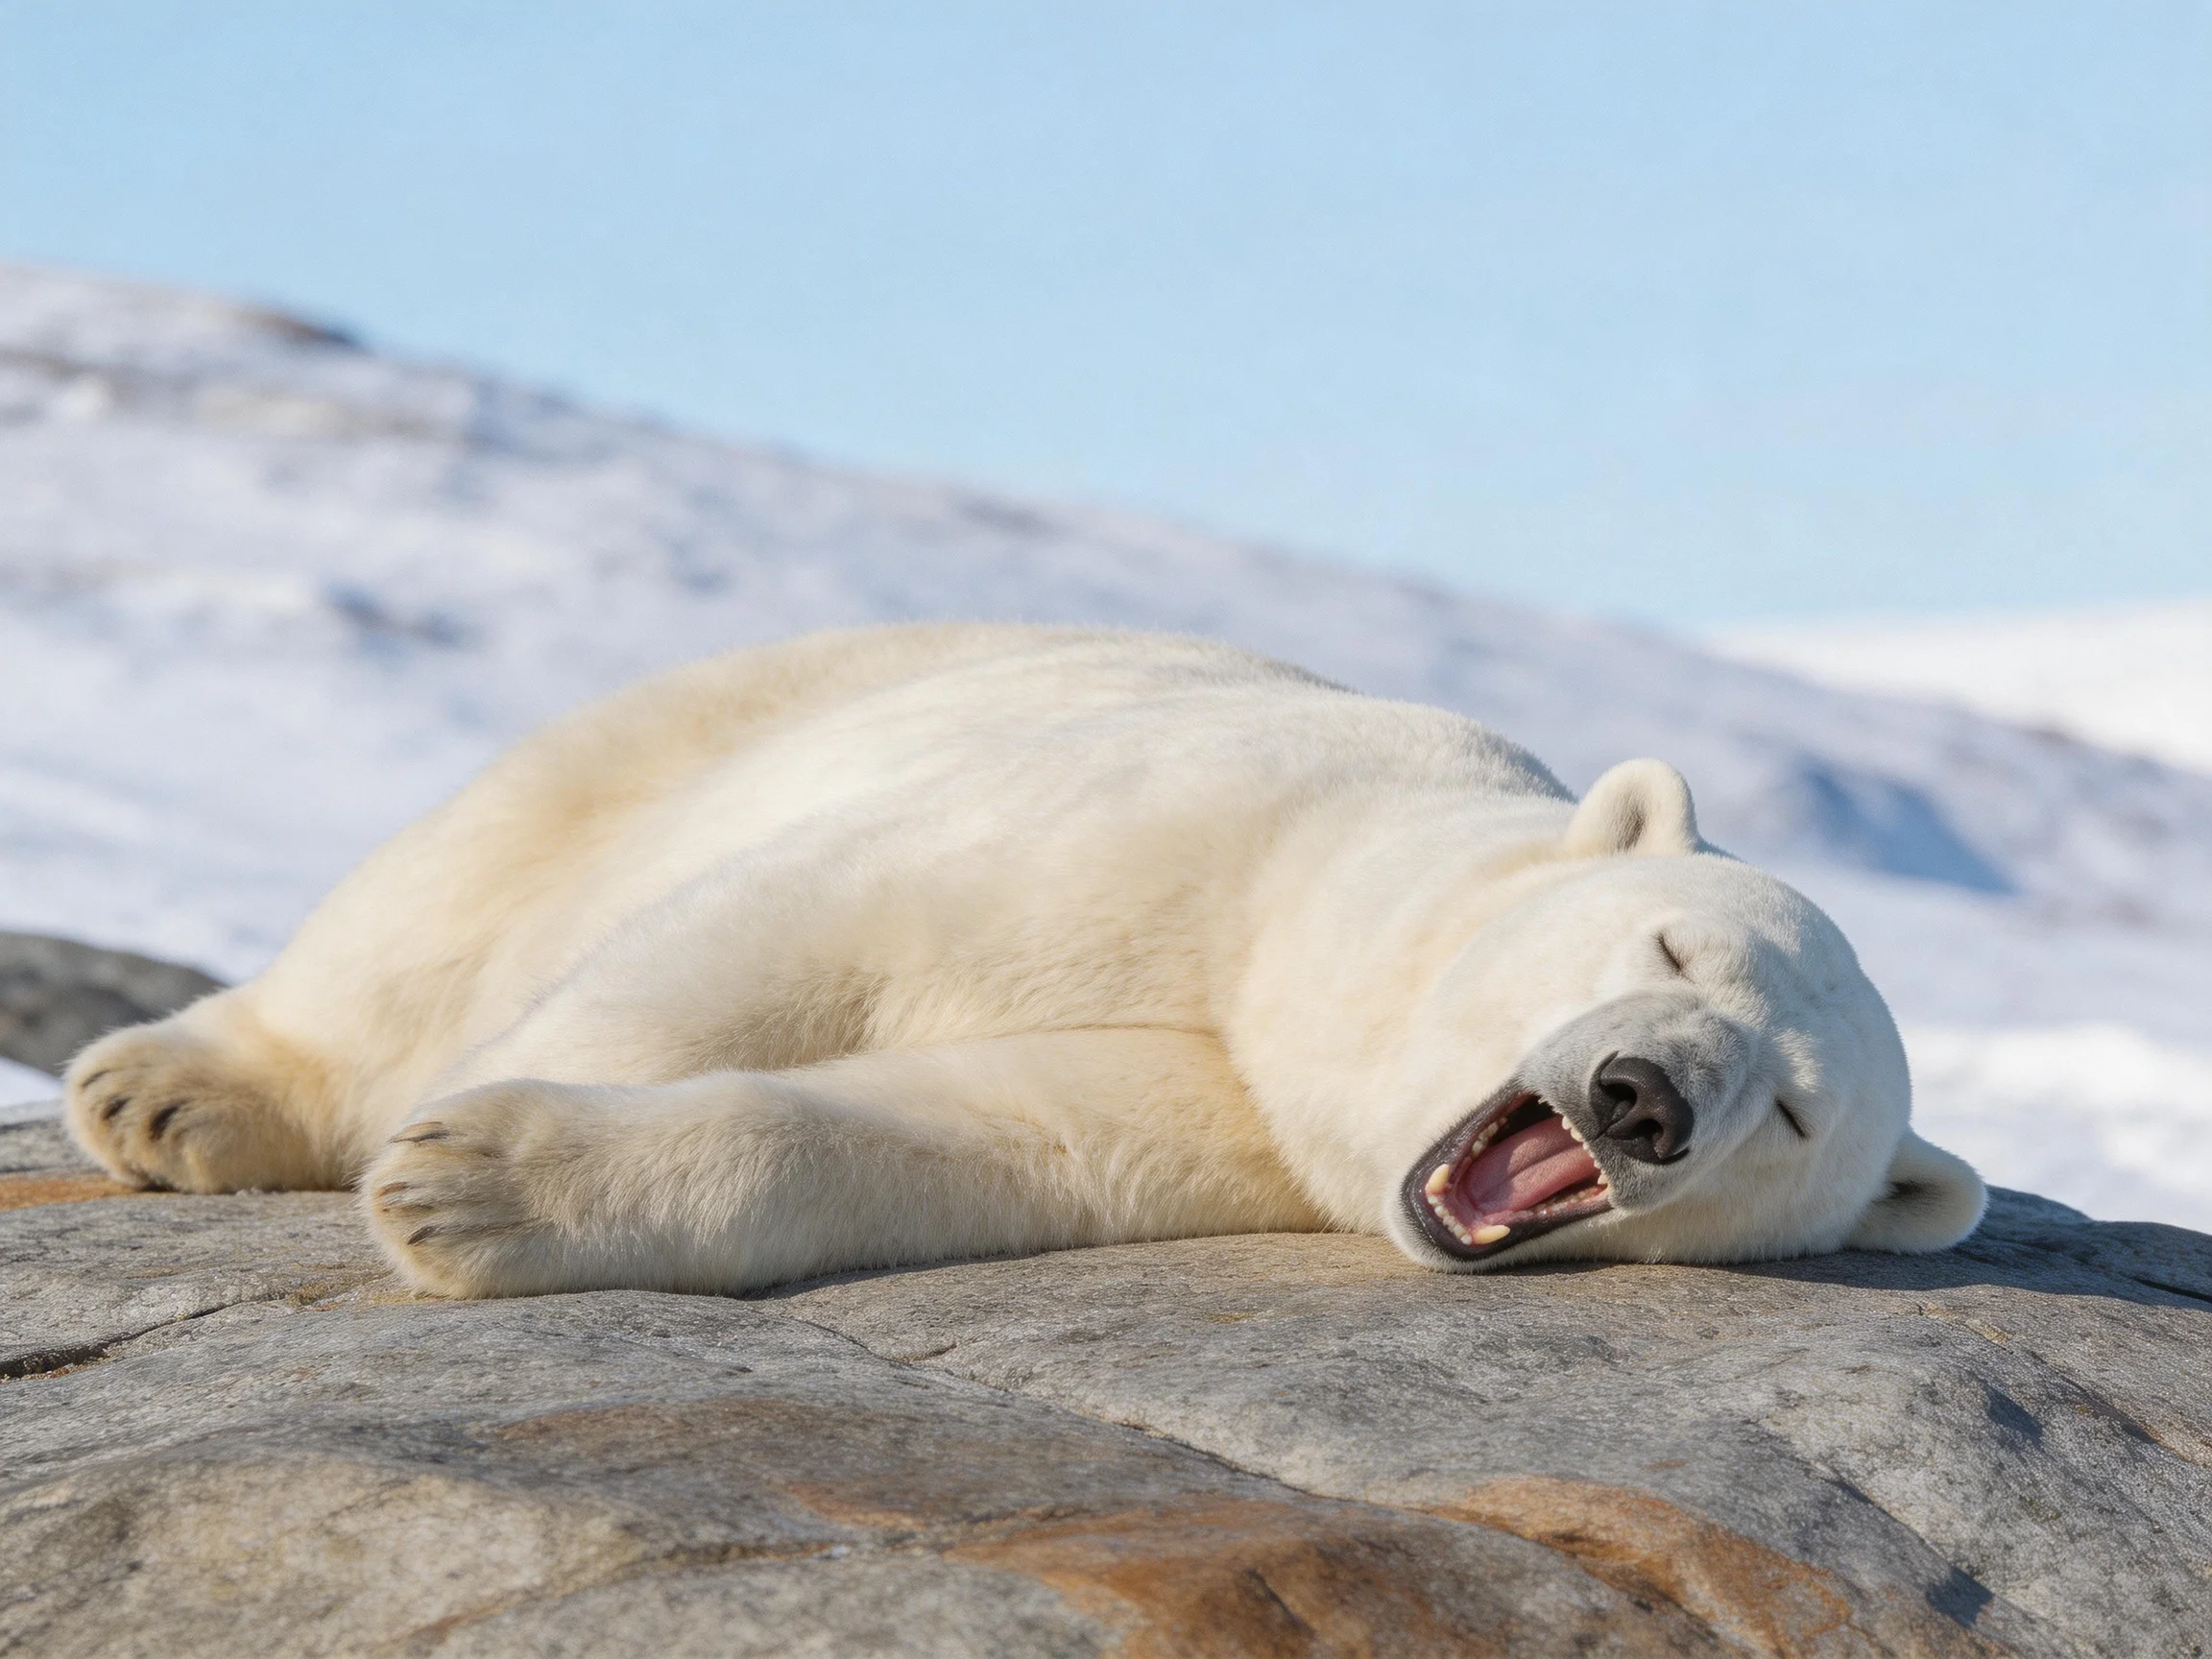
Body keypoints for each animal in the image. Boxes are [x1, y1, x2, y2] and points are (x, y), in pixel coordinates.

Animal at [64, 623, 1985, 1297]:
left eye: (1792, 1113)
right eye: (1672, 939)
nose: (1646, 1094)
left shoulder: (1216, 1124)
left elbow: (975, 1135)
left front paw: (480, 1182)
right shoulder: (1182, 821)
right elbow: (786, 938)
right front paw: (453, 1128)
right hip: (727, 707)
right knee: (461, 873)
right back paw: (172, 1091)